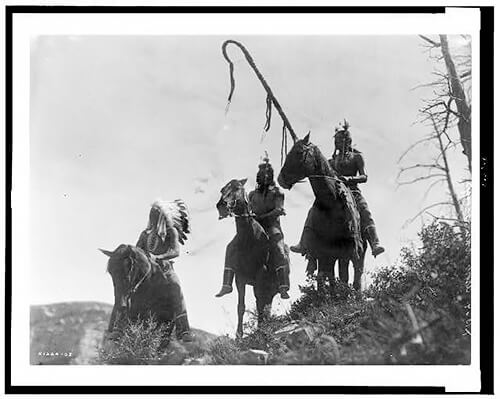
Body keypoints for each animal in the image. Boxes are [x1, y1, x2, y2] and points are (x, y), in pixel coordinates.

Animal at [216, 179, 290, 338]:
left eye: (237, 188)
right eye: (222, 190)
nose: (221, 206)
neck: (248, 239)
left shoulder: (260, 276)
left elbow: (259, 306)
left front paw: (261, 330)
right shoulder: (240, 278)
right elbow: (241, 306)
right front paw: (238, 336)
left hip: (270, 287)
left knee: (263, 304)